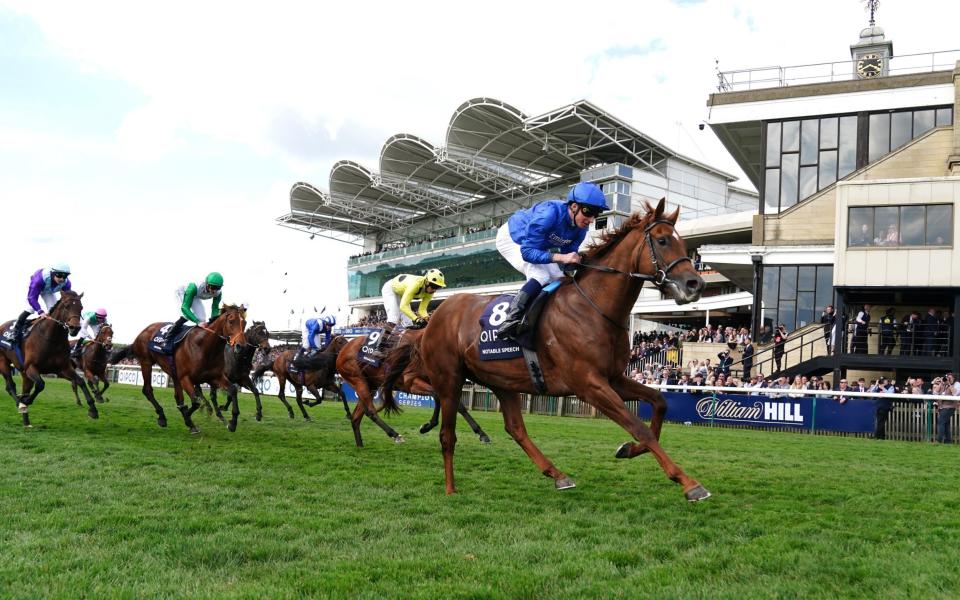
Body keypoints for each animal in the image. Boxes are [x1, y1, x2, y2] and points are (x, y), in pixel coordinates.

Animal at [0, 290, 98, 426]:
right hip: (4, 363)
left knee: (24, 387)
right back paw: (20, 403)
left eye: (81, 307)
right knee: (10, 386)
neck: (52, 338)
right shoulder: (30, 367)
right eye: (66, 306)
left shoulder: (62, 369)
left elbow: (81, 381)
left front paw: (93, 409)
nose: (75, 328)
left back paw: (26, 420)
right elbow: (41, 384)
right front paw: (26, 401)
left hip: (24, 373)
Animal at [110, 308, 249, 434]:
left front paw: (232, 422)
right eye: (231, 321)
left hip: (173, 373)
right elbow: (196, 402)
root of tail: (142, 333)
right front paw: (188, 418)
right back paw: (162, 417)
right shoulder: (185, 378)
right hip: (146, 363)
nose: (241, 346)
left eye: (245, 323)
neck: (204, 346)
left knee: (177, 397)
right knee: (148, 390)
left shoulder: (214, 377)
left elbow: (232, 389)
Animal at [336, 326, 488, 448]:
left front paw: (482, 434)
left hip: (371, 385)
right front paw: (427, 426)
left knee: (356, 417)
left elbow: (459, 406)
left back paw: (360, 445)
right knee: (370, 412)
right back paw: (395, 435)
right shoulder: (411, 382)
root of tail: (343, 349)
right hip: (358, 379)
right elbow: (436, 396)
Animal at [384, 202, 712, 502]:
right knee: (447, 435)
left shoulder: (613, 377)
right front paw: (689, 483)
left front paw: (628, 450)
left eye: (684, 243)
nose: (695, 284)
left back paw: (557, 474)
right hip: (449, 379)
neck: (593, 307)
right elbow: (638, 427)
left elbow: (659, 403)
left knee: (515, 428)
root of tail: (432, 319)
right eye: (662, 240)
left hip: (502, 381)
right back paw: (451, 488)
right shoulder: (589, 385)